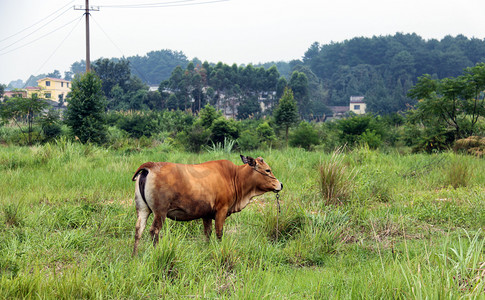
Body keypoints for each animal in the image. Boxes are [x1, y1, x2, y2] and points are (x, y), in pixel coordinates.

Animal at [131, 155, 284, 255]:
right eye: (268, 170)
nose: (280, 184)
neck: (234, 177)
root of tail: (151, 166)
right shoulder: (221, 210)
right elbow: (219, 233)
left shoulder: (206, 215)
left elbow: (207, 233)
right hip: (160, 212)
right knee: (154, 231)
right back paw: (156, 252)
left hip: (142, 210)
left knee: (139, 230)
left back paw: (135, 256)